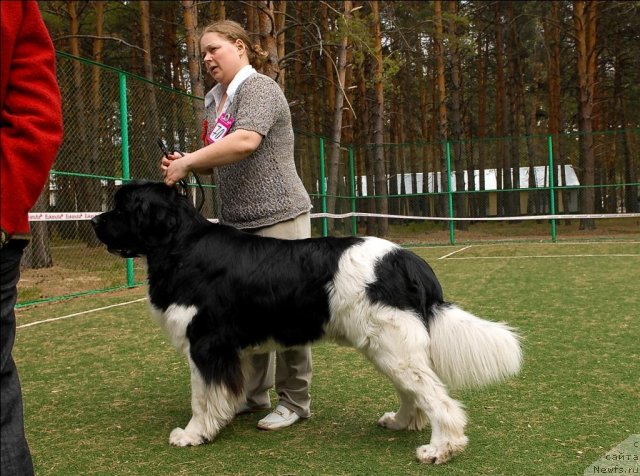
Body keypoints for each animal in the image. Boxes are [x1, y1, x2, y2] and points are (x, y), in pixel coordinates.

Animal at [92, 182, 524, 464]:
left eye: (122, 207)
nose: (95, 221)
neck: (180, 245)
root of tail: (406, 259)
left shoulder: (206, 343)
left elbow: (202, 396)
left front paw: (193, 434)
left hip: (392, 344)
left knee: (437, 398)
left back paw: (440, 449)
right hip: (386, 346)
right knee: (414, 391)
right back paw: (401, 422)